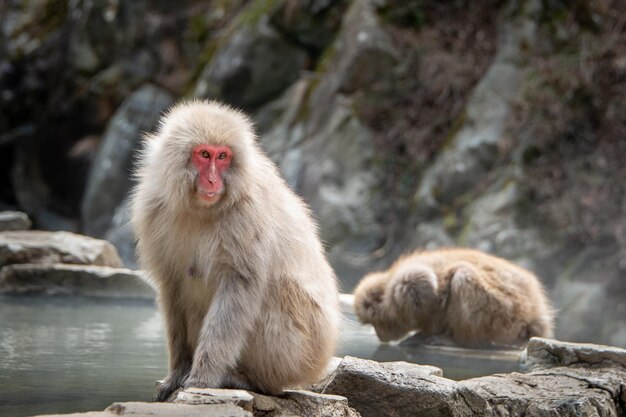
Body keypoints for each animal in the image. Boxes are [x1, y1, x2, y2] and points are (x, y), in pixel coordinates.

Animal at [129, 100, 338, 400]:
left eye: (223, 157)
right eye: (204, 154)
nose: (213, 181)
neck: (200, 209)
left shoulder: (247, 214)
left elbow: (239, 287)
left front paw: (202, 377)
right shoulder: (153, 209)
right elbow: (172, 287)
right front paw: (177, 372)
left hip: (302, 352)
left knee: (275, 290)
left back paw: (250, 380)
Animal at [354, 247, 552, 348]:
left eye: (375, 322)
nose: (379, 335)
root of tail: (535, 315)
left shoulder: (405, 283)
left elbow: (423, 283)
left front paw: (427, 332)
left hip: (505, 316)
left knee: (462, 276)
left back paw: (458, 340)